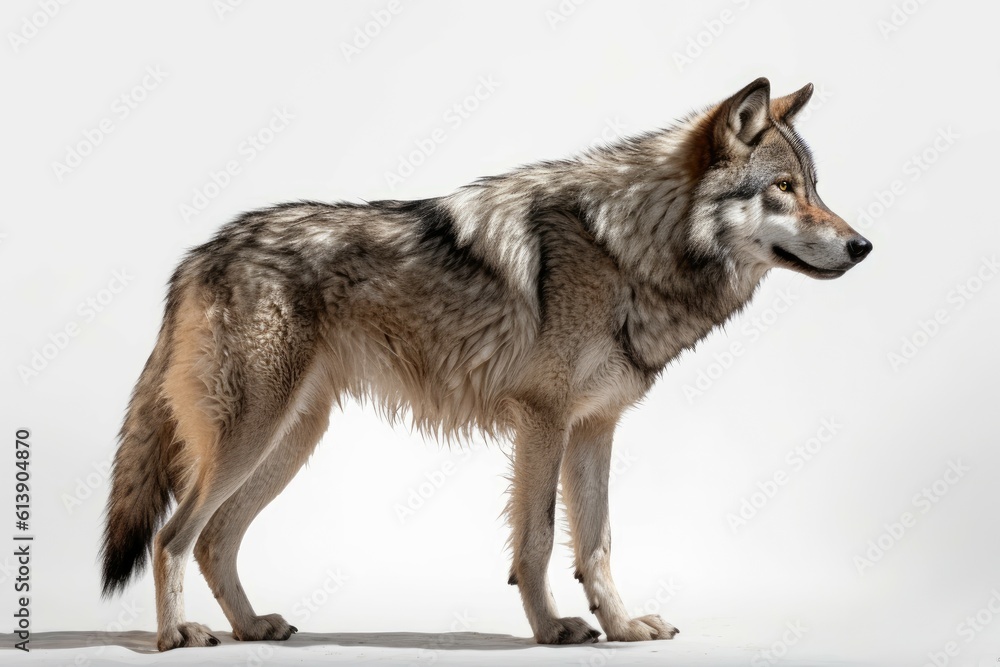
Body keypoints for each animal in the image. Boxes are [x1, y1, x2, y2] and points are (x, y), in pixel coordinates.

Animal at [101, 78, 871, 650]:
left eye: (815, 186)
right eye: (783, 188)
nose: (863, 245)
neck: (626, 249)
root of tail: (198, 255)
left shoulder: (594, 427)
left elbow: (597, 542)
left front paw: (622, 627)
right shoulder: (544, 418)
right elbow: (538, 539)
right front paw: (554, 628)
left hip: (291, 440)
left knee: (214, 540)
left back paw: (251, 626)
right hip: (254, 434)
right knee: (173, 535)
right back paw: (178, 637)